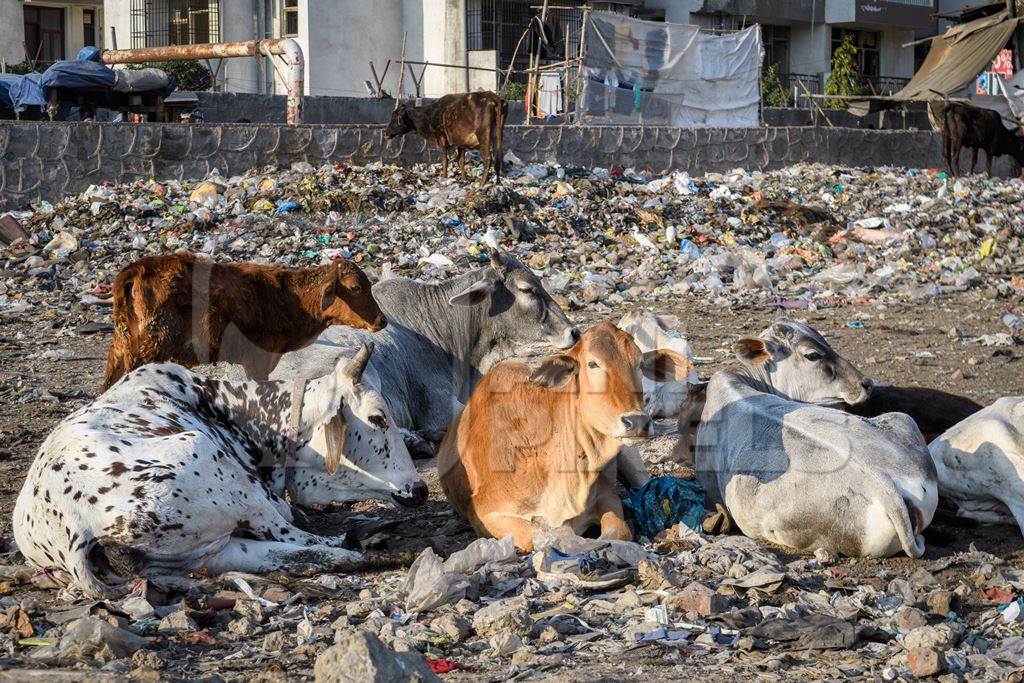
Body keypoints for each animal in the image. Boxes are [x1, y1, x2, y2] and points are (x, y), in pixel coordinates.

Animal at [12, 344, 419, 593]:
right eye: (378, 418)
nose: (420, 489)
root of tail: (74, 527)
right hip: (220, 469)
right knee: (309, 541)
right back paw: (367, 537)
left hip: (210, 548)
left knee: (299, 554)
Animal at [102, 252, 385, 389]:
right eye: (355, 288)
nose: (382, 321)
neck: (287, 298)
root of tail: (137, 269)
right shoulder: (257, 360)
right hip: (153, 346)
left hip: (122, 347)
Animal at [434, 321, 688, 548]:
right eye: (592, 363)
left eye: (639, 363)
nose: (636, 422)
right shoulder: (486, 511)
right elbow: (535, 537)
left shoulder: (605, 491)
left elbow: (619, 531)